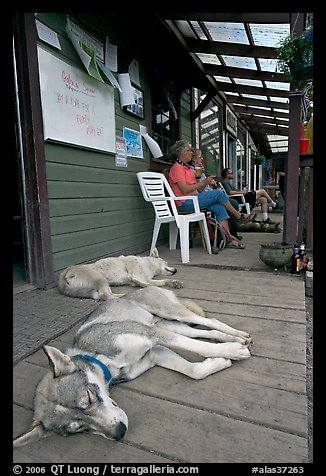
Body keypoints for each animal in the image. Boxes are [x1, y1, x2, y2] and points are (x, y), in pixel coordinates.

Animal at [12, 288, 251, 448]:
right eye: (79, 428)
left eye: (88, 398)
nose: (119, 432)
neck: (106, 362)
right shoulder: (155, 352)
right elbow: (194, 371)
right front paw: (219, 360)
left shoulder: (152, 336)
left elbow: (199, 347)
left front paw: (231, 352)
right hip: (171, 325)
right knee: (207, 331)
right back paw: (234, 339)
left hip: (172, 315)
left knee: (211, 322)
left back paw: (238, 338)